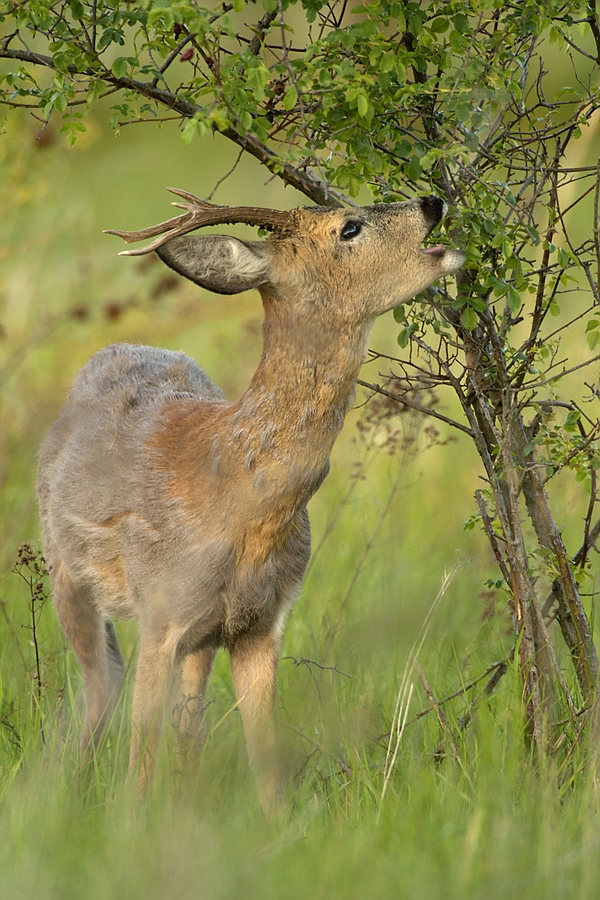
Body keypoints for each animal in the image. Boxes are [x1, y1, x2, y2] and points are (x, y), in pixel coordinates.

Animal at [38, 188, 464, 808]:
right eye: (349, 227)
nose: (433, 200)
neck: (242, 501)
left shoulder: (262, 623)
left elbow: (266, 760)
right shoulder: (160, 610)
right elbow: (142, 754)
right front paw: (130, 820)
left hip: (202, 637)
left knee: (186, 724)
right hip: (66, 571)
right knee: (103, 686)